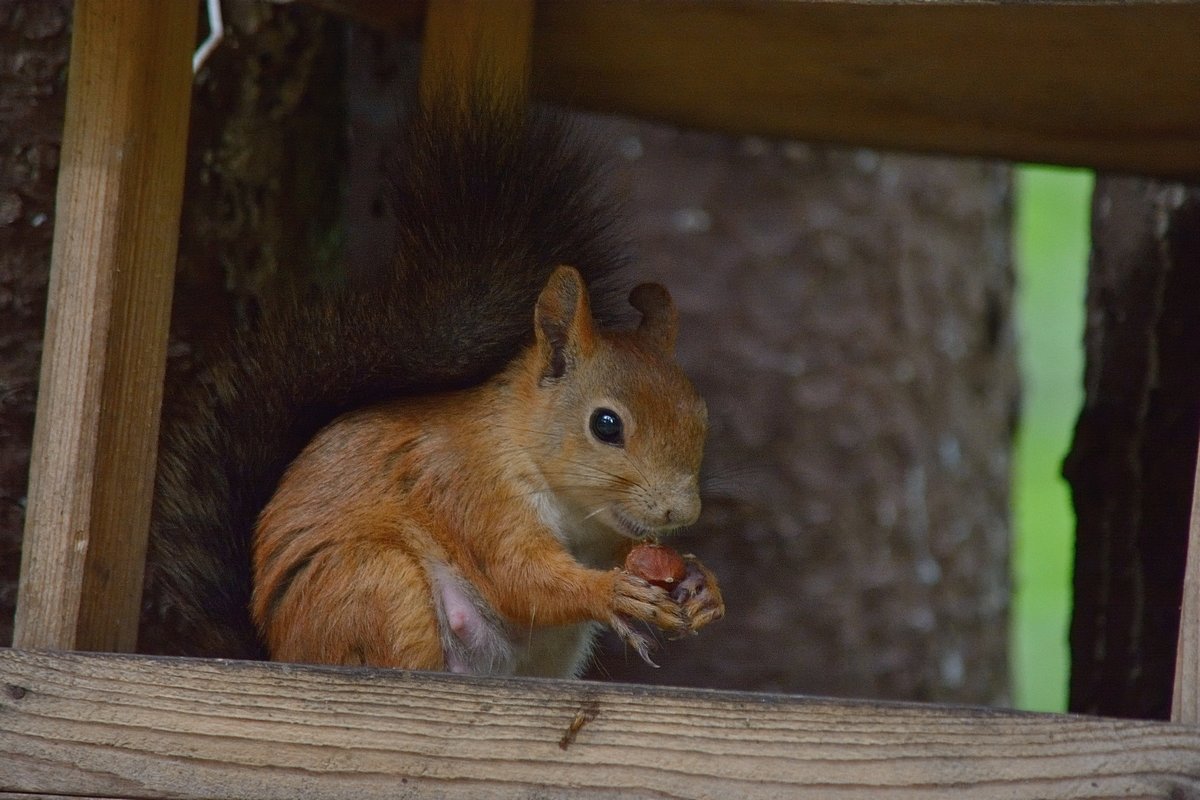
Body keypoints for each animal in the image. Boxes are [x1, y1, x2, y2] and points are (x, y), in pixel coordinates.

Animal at [140, 90, 720, 681]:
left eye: (700, 417)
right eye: (605, 425)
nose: (680, 513)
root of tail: (278, 654)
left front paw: (701, 586)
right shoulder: (468, 491)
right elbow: (520, 577)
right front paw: (610, 593)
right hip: (376, 584)